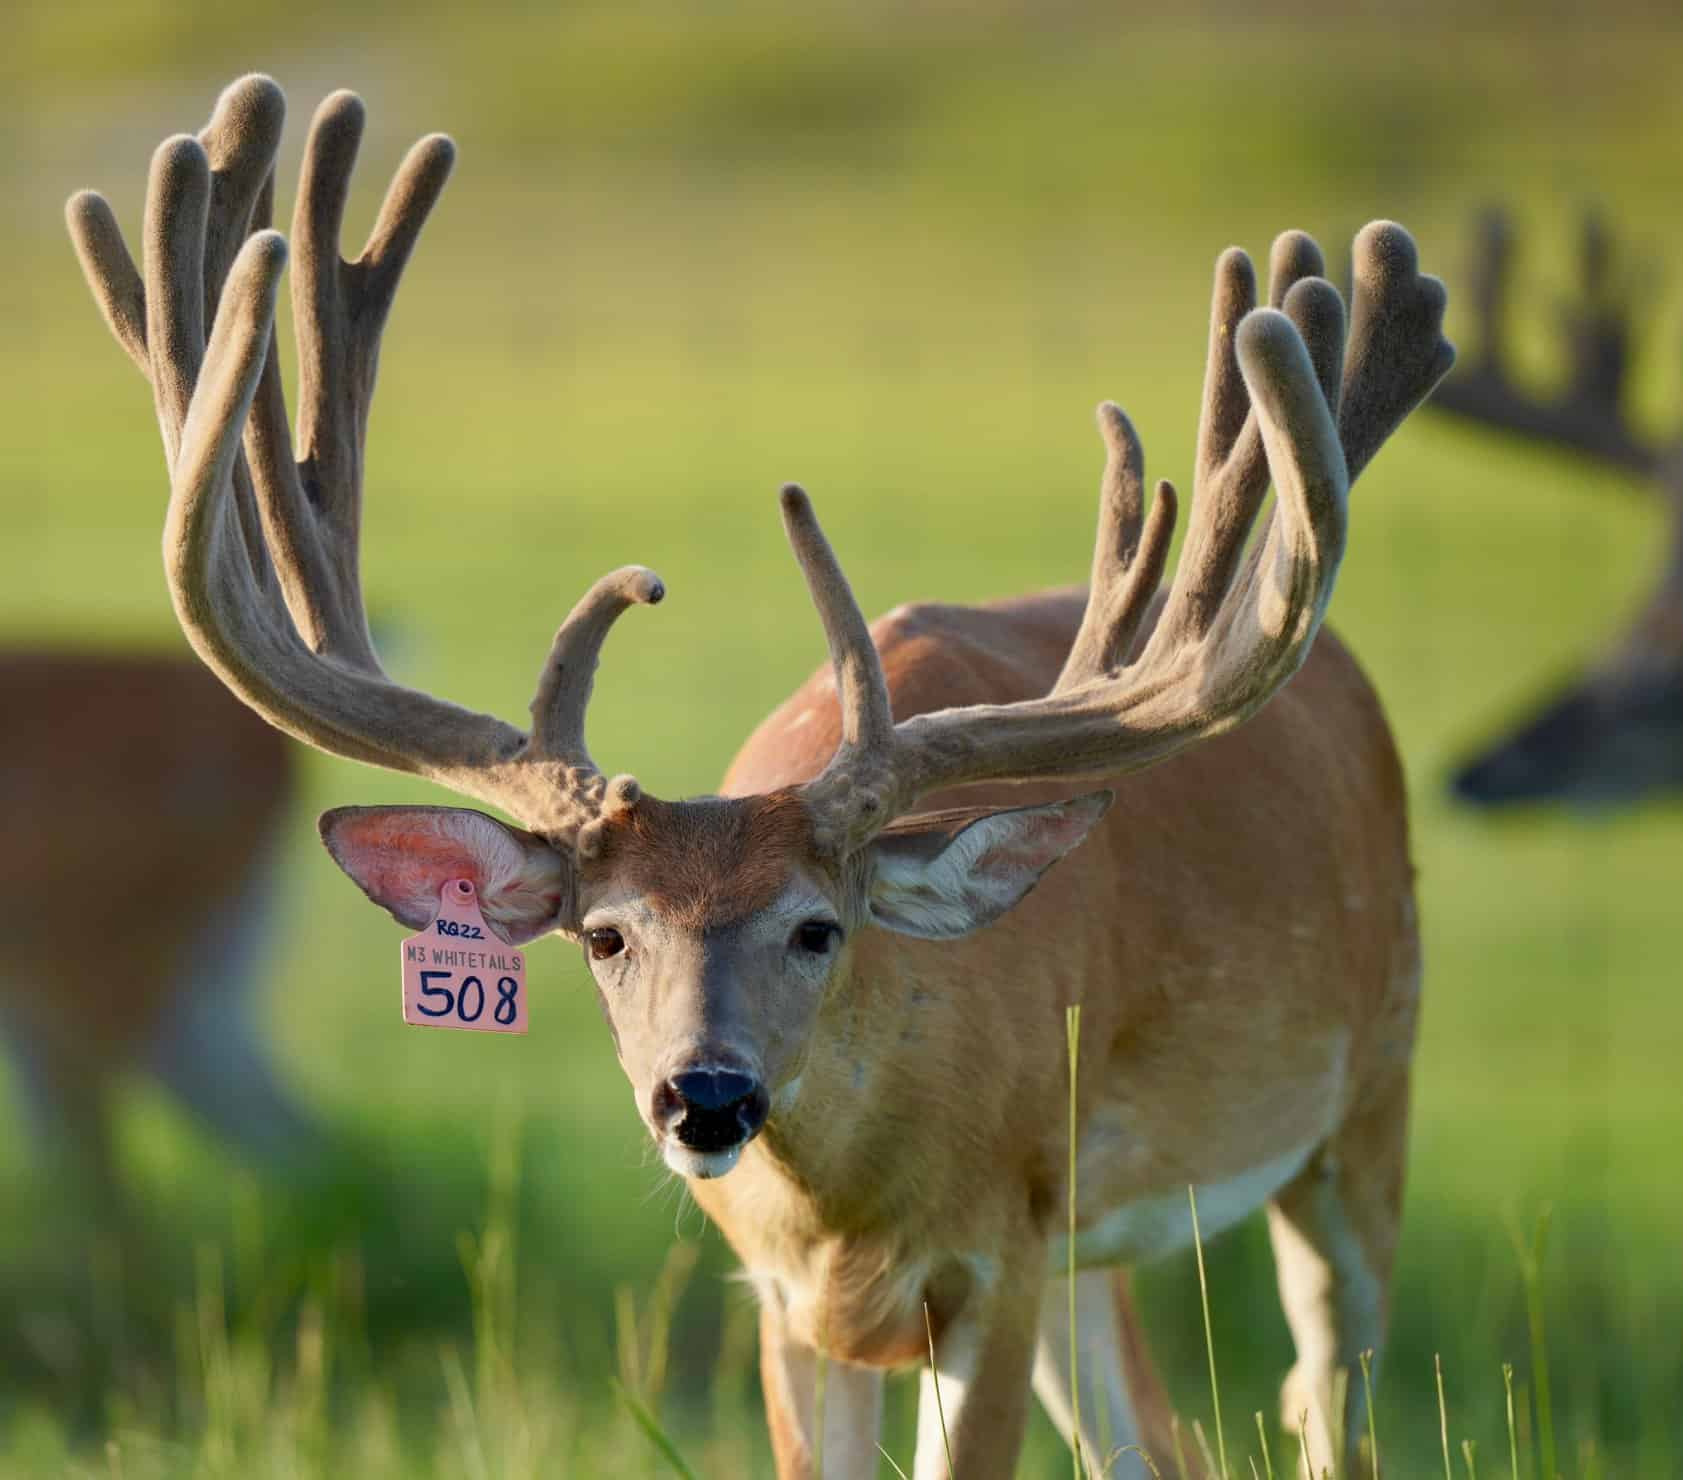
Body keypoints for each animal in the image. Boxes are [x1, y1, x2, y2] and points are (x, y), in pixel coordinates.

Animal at [66, 74, 1452, 1479]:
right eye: (605, 935)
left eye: (817, 927)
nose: (707, 1096)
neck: (849, 1210)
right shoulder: (794, 1299)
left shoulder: (994, 1252)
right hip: (1093, 1246)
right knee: (1155, 1440)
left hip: (1370, 1090)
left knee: (1327, 1390)